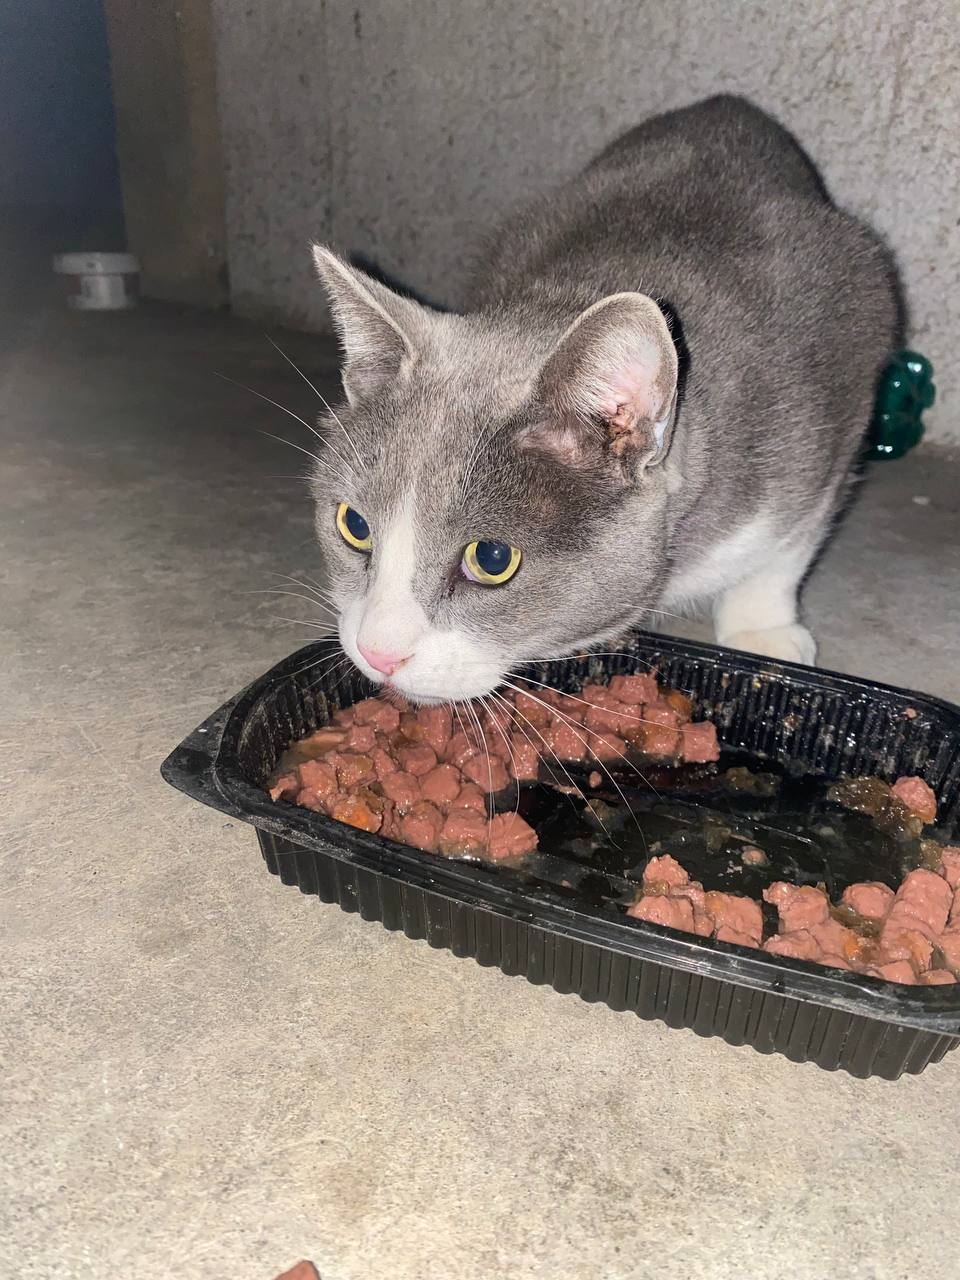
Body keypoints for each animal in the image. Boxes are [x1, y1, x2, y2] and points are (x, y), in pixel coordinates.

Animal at [308, 95, 901, 705]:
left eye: (492, 559)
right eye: (354, 525)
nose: (378, 651)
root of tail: (727, 104)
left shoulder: (823, 417)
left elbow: (787, 546)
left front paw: (762, 632)